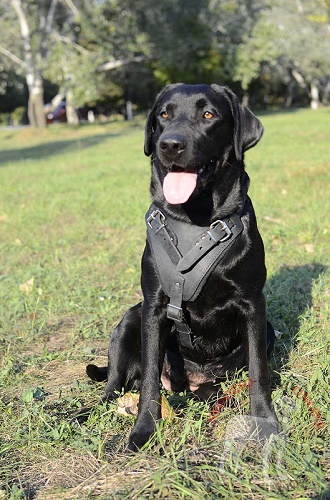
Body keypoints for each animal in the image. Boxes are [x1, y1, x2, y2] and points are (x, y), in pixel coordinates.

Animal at [83, 84, 278, 452]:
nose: (170, 144)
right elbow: (148, 383)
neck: (196, 220)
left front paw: (265, 423)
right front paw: (144, 429)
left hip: (265, 333)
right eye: (164, 114)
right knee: (114, 386)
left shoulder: (253, 304)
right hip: (130, 319)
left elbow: (259, 371)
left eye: (208, 114)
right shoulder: (154, 305)